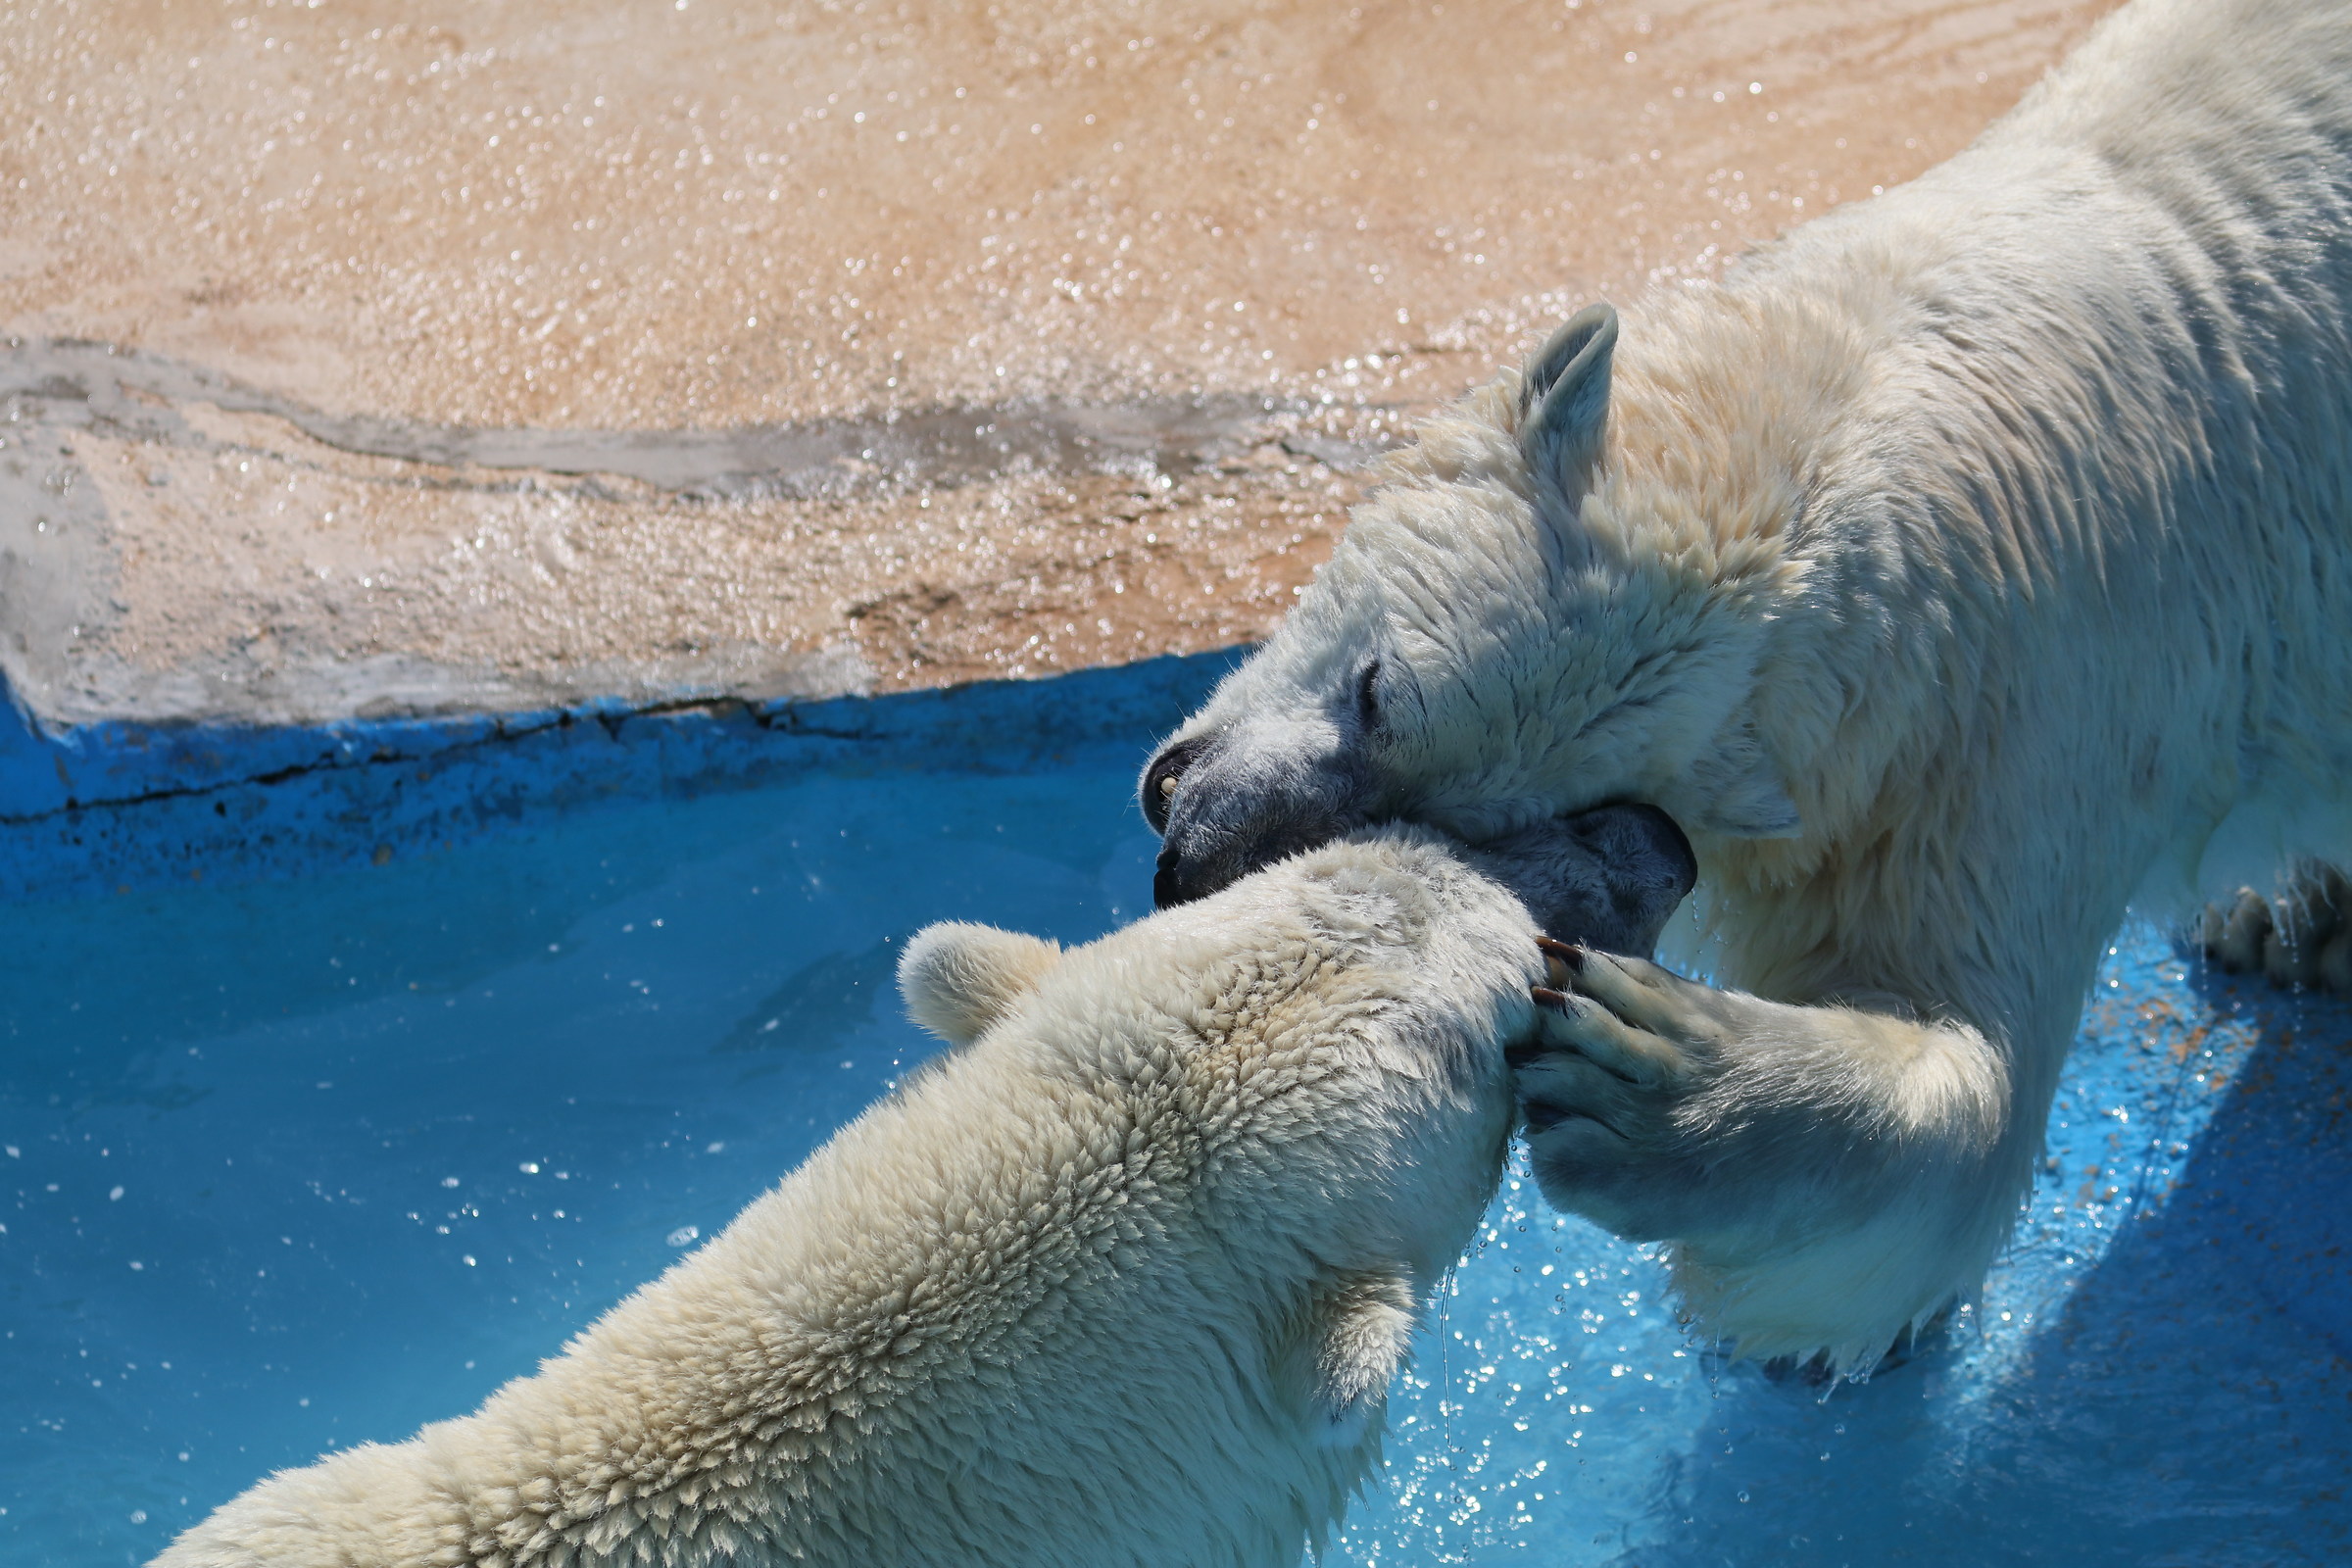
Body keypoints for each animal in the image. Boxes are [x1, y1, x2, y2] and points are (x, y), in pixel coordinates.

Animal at [1138, 0, 2352, 1372]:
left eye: (1484, 820)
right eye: (1378, 686)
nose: (1203, 856)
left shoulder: (2020, 705)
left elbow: (1957, 1097)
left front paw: (1649, 1070)